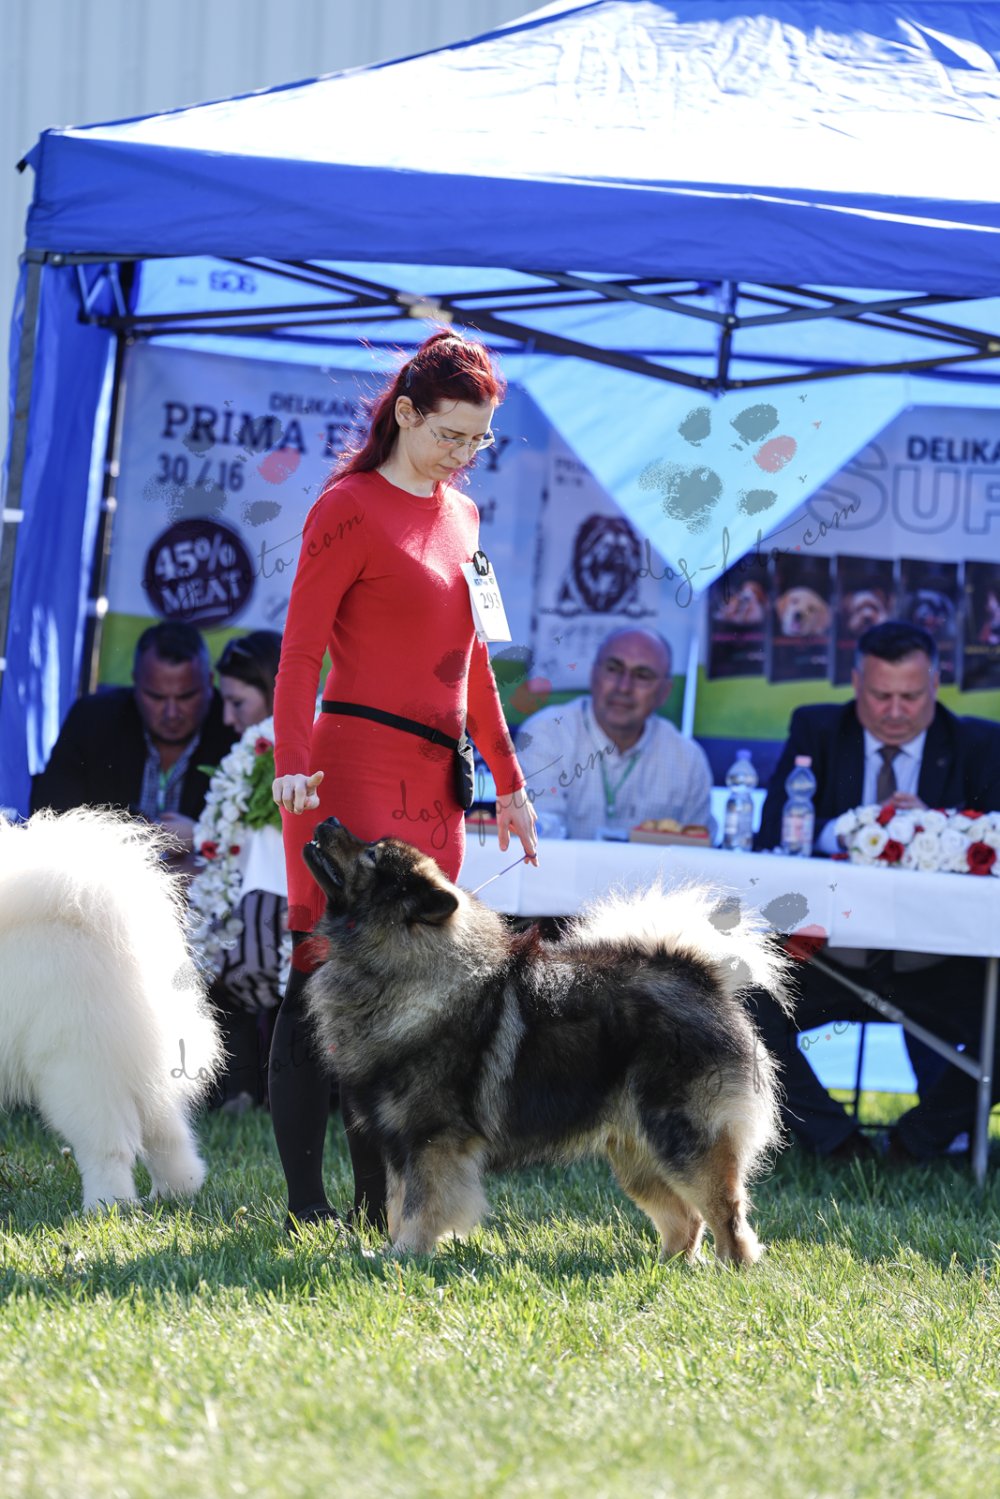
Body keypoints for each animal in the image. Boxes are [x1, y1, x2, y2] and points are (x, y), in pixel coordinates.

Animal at [0, 808, 222, 1211]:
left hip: (78, 1069)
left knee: (109, 1147)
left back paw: (105, 1206)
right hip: (136, 1066)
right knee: (167, 1134)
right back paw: (176, 1191)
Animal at [302, 819, 791, 1264]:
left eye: (372, 855)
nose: (327, 820)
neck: (405, 969)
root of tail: (698, 976)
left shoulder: (432, 1139)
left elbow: (420, 1206)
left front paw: (406, 1256)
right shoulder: (401, 1142)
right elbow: (398, 1204)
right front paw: (391, 1252)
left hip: (685, 1138)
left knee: (726, 1215)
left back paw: (731, 1268)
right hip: (637, 1153)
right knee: (685, 1220)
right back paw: (666, 1268)